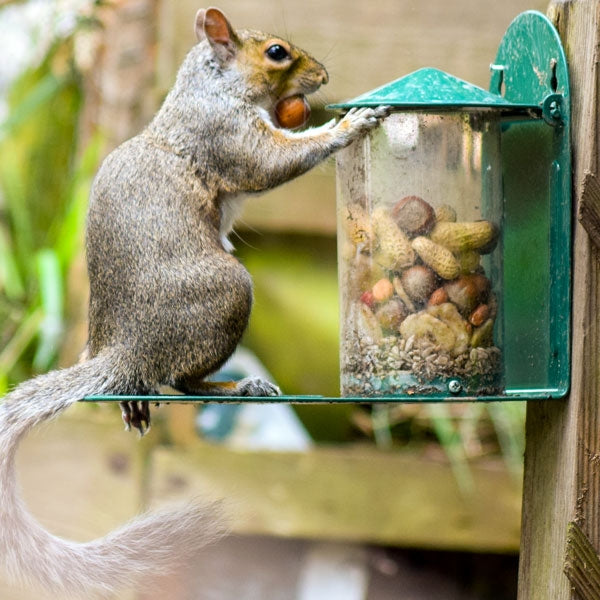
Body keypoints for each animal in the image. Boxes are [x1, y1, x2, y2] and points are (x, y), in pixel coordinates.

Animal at [0, 5, 390, 600]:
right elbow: (272, 163)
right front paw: (350, 125)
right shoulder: (225, 135)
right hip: (227, 295)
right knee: (182, 380)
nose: (322, 77)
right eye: (277, 52)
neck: (210, 88)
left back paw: (135, 401)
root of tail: (124, 350)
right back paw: (238, 385)